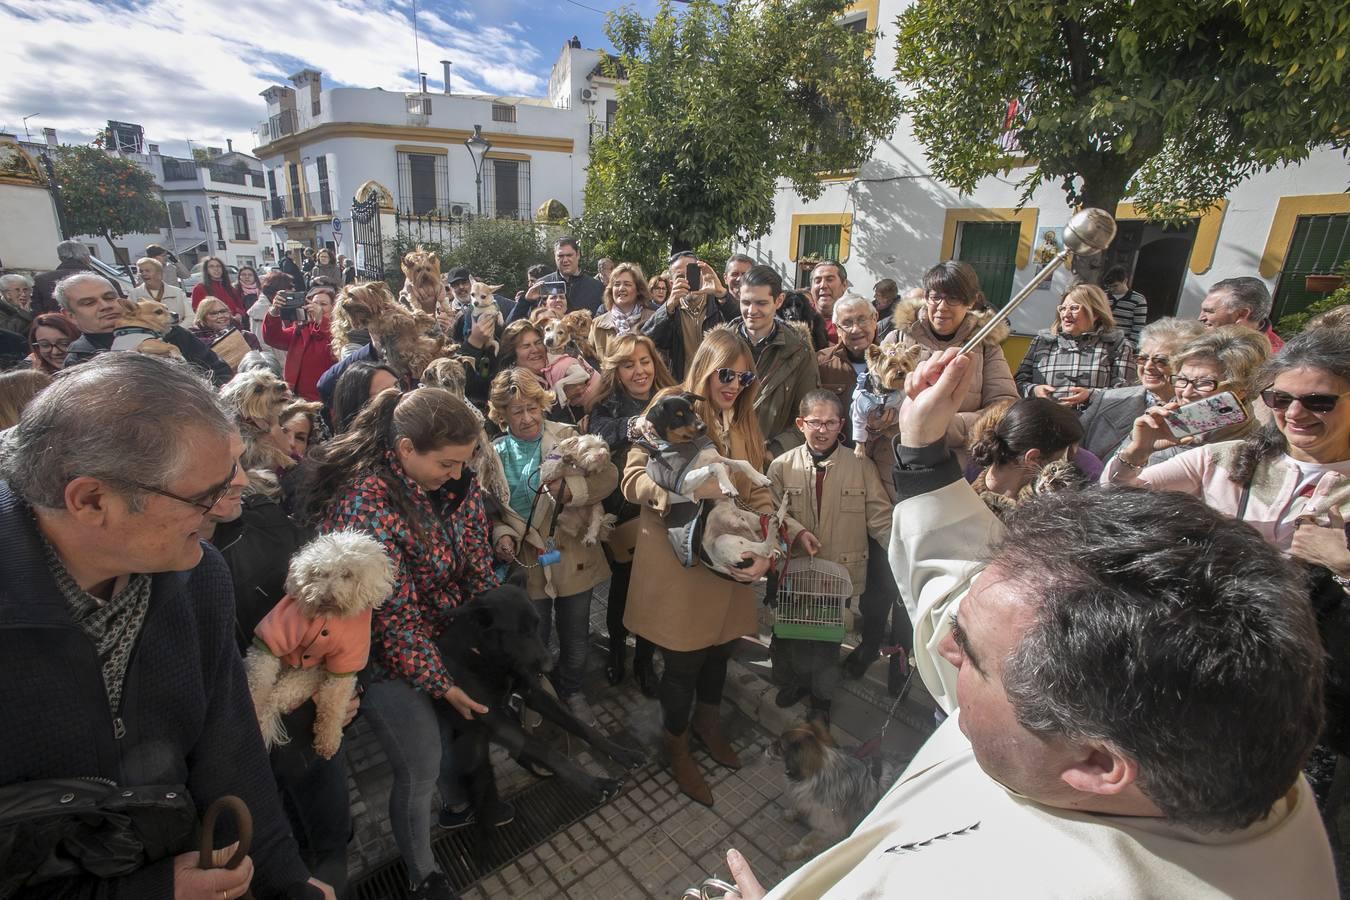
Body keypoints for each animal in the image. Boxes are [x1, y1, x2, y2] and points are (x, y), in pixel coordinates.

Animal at [244, 531, 394, 755]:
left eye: (347, 574)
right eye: (319, 573)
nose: (326, 597)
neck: (329, 618)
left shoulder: (345, 663)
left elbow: (334, 703)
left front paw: (328, 741)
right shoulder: (273, 638)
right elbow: (259, 680)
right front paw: (253, 706)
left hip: (309, 675)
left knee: (279, 697)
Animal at [432, 580, 642, 825]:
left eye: (537, 624)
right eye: (519, 632)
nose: (550, 666)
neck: (486, 656)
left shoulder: (534, 694)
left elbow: (582, 727)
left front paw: (623, 753)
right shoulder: (495, 720)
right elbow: (549, 752)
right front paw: (596, 785)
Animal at [772, 723, 896, 863]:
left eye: (780, 746)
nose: (769, 745)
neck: (820, 775)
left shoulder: (829, 827)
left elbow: (806, 841)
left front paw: (793, 851)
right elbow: (801, 806)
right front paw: (792, 813)